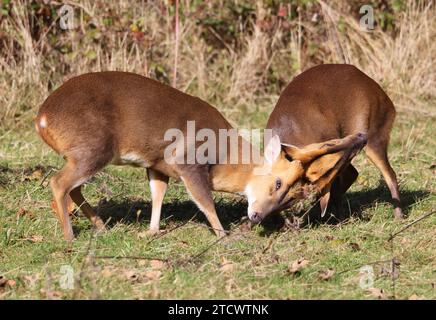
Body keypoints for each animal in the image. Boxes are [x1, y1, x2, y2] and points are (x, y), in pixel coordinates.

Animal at [35, 70, 366, 240]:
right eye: (278, 184)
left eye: (291, 193)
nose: (257, 216)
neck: (226, 155)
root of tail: (43, 118)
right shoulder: (188, 161)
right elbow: (205, 200)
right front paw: (223, 235)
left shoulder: (157, 165)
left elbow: (157, 195)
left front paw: (151, 231)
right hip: (92, 148)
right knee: (59, 183)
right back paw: (70, 236)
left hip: (84, 154)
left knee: (72, 187)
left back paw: (101, 226)